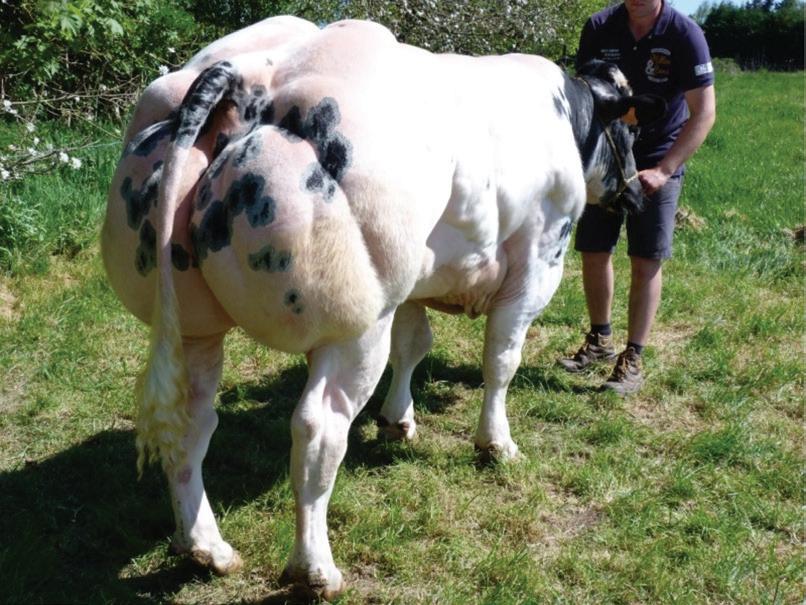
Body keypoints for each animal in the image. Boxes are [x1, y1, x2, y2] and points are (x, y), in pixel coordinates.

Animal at [102, 17, 664, 600]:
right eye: (630, 132)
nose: (640, 196)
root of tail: (249, 72)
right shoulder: (537, 261)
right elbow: (501, 360)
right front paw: (496, 445)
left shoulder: (413, 283)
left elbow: (414, 346)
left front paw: (398, 421)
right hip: (355, 325)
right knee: (319, 429)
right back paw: (315, 570)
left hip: (197, 326)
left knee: (190, 424)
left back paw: (206, 548)